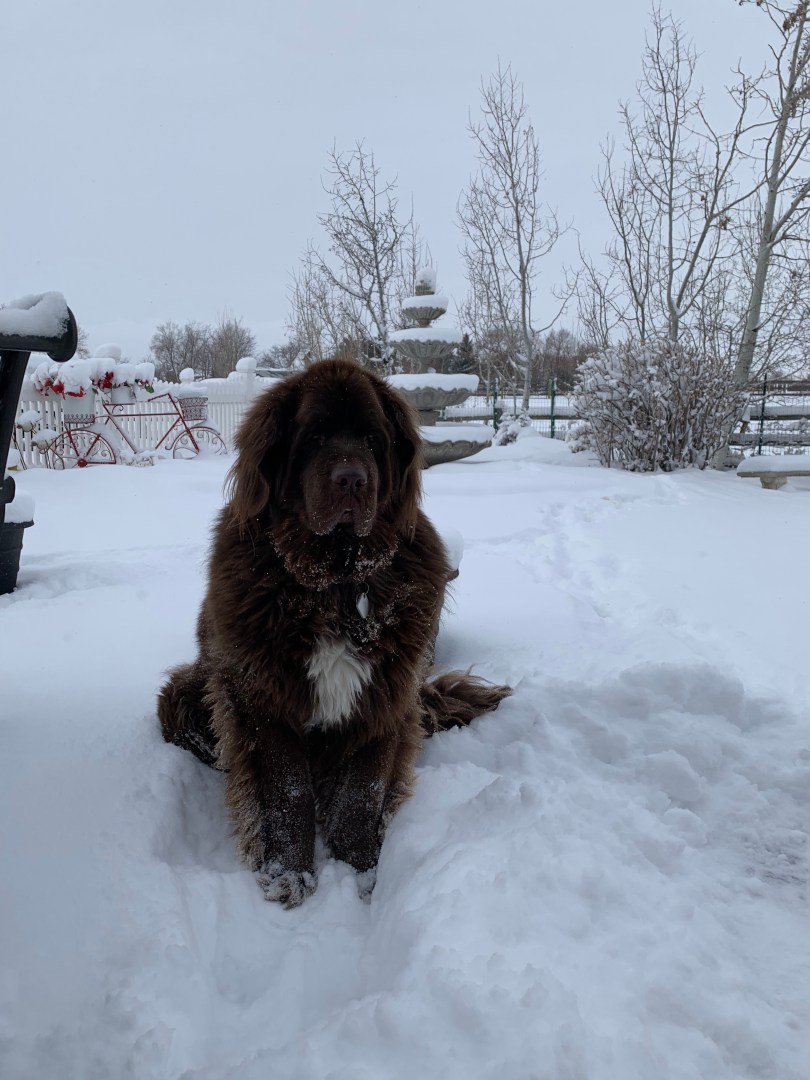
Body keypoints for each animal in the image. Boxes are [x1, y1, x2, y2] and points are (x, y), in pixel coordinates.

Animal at [158, 358, 509, 907]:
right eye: (316, 436)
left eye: (371, 438)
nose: (351, 480)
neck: (338, 583)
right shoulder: (262, 699)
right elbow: (287, 792)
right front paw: (289, 875)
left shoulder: (386, 697)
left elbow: (363, 792)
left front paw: (362, 874)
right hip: (185, 693)